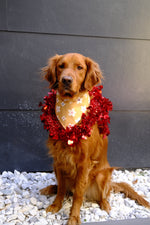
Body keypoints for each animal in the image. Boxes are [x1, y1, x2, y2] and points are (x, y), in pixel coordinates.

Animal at [39, 53, 149, 225]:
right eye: (61, 66)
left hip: (102, 175)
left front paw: (74, 217)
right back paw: (50, 188)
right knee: (63, 188)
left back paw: (105, 205)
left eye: (79, 67)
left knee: (103, 194)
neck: (69, 111)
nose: (66, 80)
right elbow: (62, 188)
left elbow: (78, 193)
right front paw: (56, 205)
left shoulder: (84, 163)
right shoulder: (59, 159)